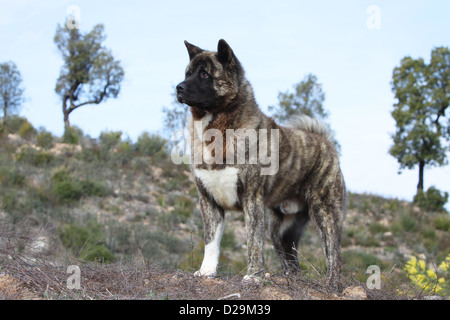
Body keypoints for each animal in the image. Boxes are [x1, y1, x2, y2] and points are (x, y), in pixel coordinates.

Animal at [176, 38, 344, 292]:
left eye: (204, 74)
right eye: (187, 73)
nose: (179, 87)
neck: (218, 129)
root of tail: (324, 141)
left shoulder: (251, 200)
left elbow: (253, 243)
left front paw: (254, 276)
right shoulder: (209, 202)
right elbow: (211, 243)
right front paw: (206, 272)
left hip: (325, 212)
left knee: (333, 253)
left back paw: (332, 283)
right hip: (281, 231)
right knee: (291, 261)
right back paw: (290, 279)